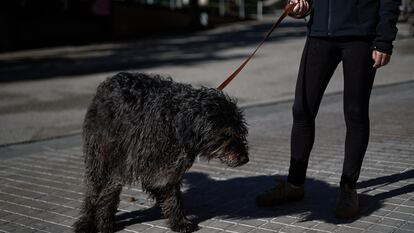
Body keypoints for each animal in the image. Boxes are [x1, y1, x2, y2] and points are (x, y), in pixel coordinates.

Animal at [73, 72, 249, 233]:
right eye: (226, 134)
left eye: (241, 132)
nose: (245, 159)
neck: (178, 121)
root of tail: (109, 81)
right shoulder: (127, 162)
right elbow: (110, 191)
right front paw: (104, 223)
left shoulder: (167, 168)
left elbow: (170, 193)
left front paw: (177, 221)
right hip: (99, 156)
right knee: (93, 190)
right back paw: (86, 222)